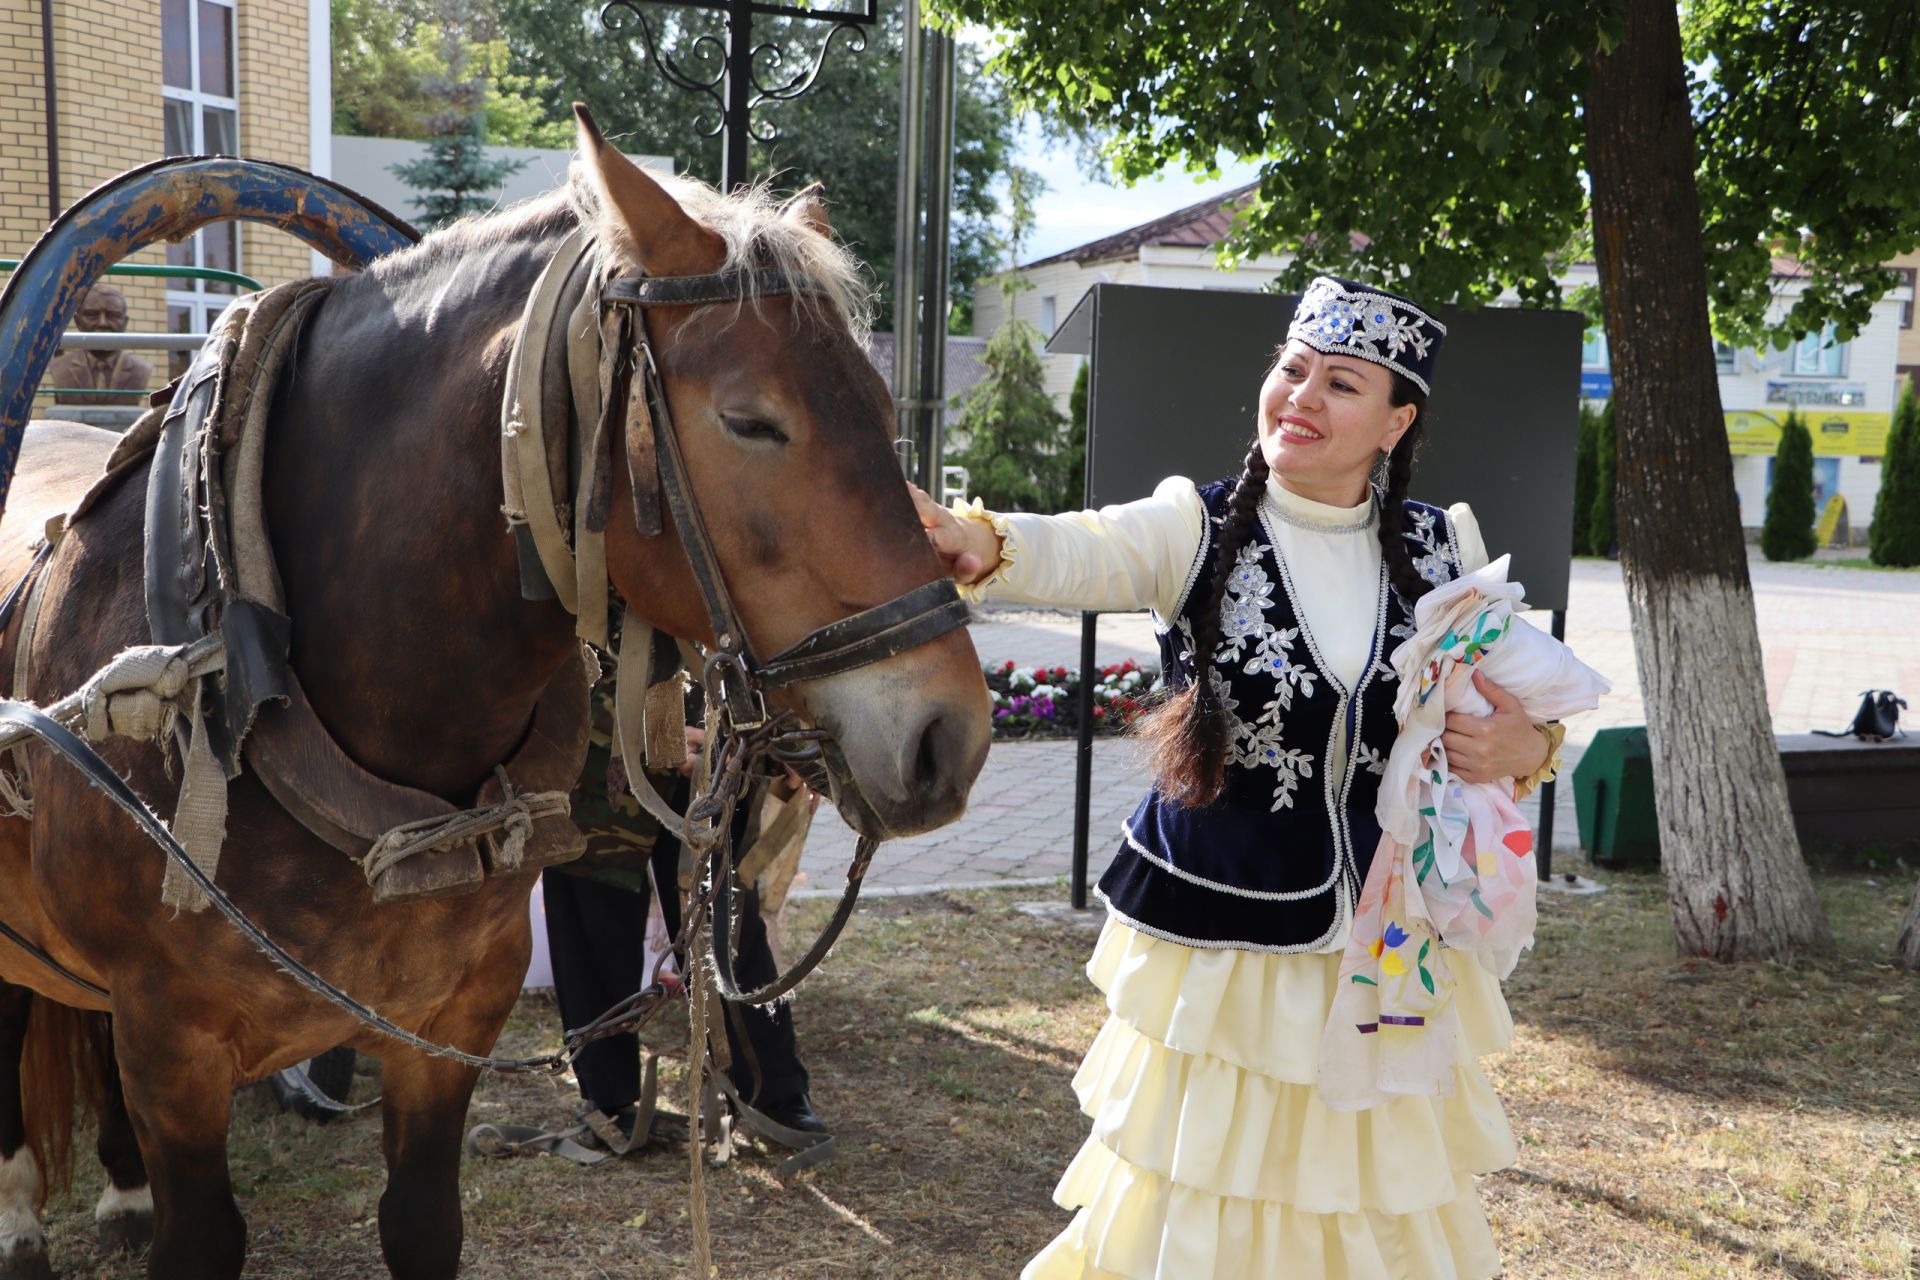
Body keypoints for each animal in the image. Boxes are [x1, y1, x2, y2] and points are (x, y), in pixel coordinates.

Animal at [0, 115, 990, 1274]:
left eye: (884, 409)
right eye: (752, 420)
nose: (948, 734)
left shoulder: (451, 1025)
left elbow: (423, 1221)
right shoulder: (172, 1045)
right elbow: (200, 1227)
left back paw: (118, 1185)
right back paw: (23, 1208)